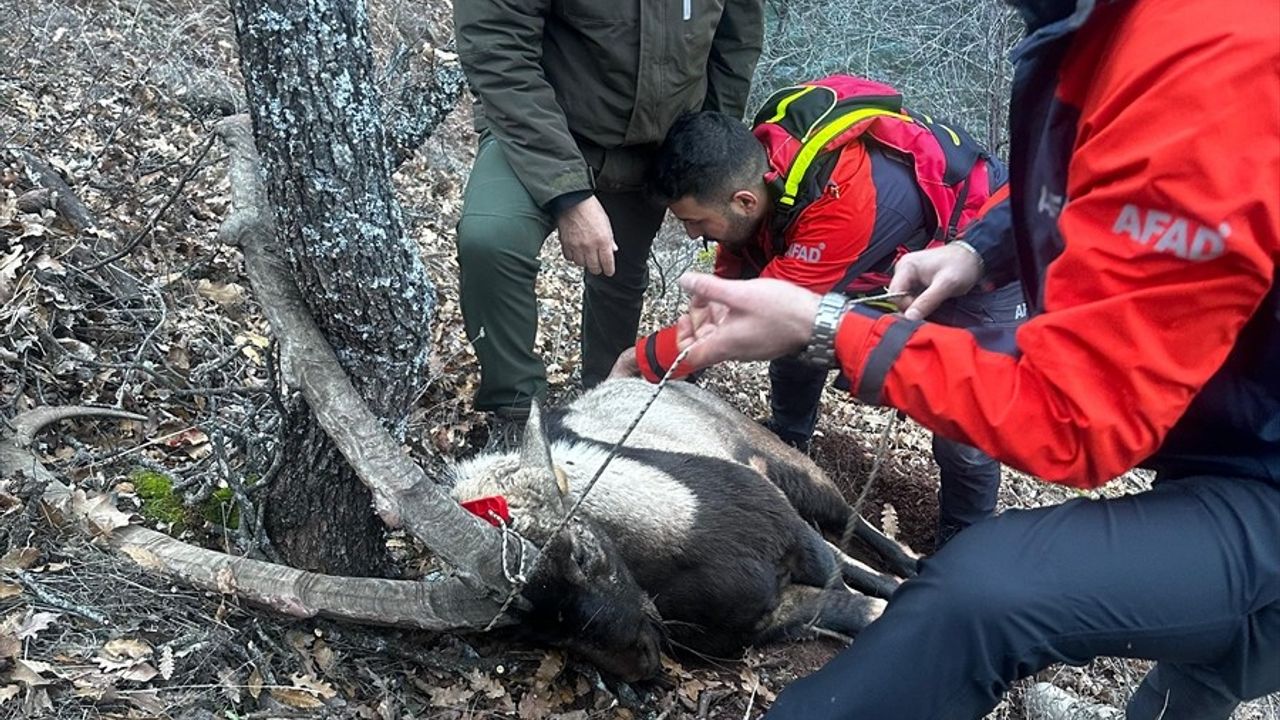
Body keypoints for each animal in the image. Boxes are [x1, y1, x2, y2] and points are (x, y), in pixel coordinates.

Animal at [445, 379, 916, 676]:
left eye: (581, 553)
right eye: (529, 627)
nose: (642, 664)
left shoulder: (796, 539)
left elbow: (852, 578)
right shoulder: (758, 621)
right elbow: (855, 609)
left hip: (790, 466)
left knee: (847, 520)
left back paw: (909, 561)